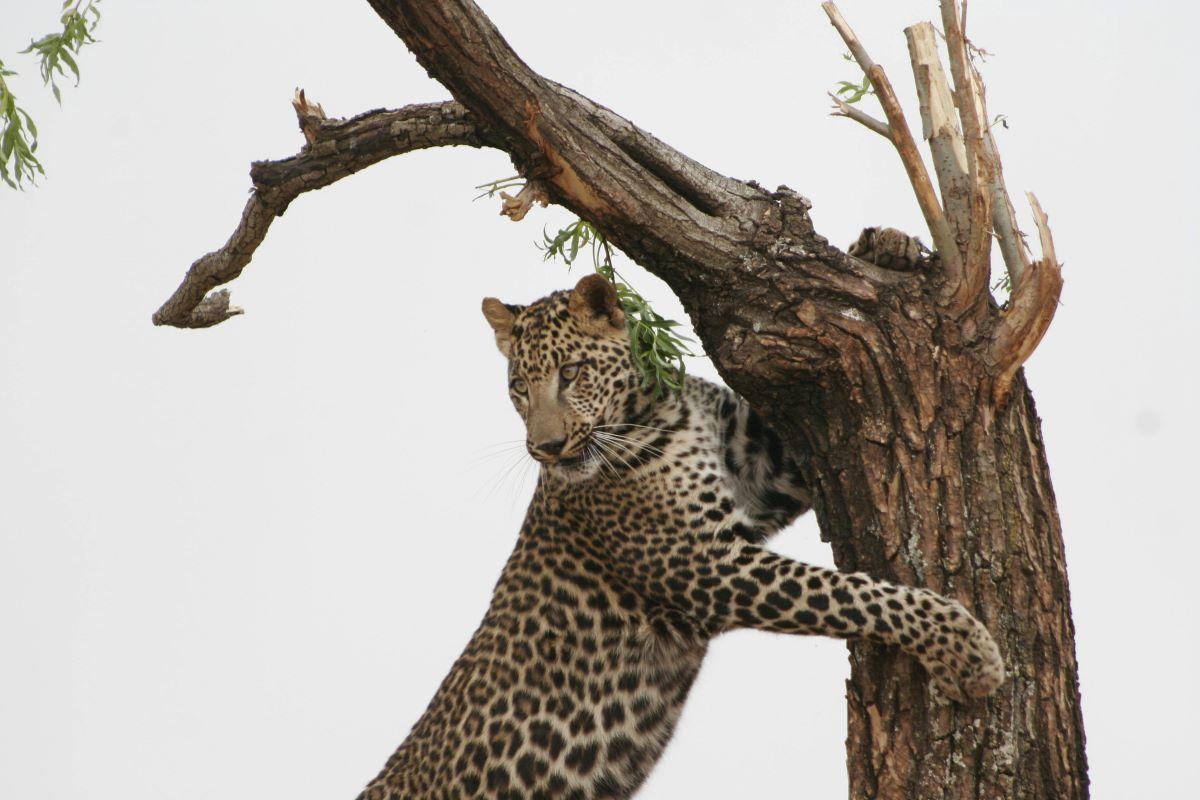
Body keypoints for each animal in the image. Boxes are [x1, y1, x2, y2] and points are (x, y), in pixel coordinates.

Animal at [357, 274, 1004, 800]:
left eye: (571, 373)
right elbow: (853, 595)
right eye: (519, 386)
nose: (546, 449)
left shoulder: (764, 471)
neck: (657, 411)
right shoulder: (707, 566)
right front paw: (968, 650)